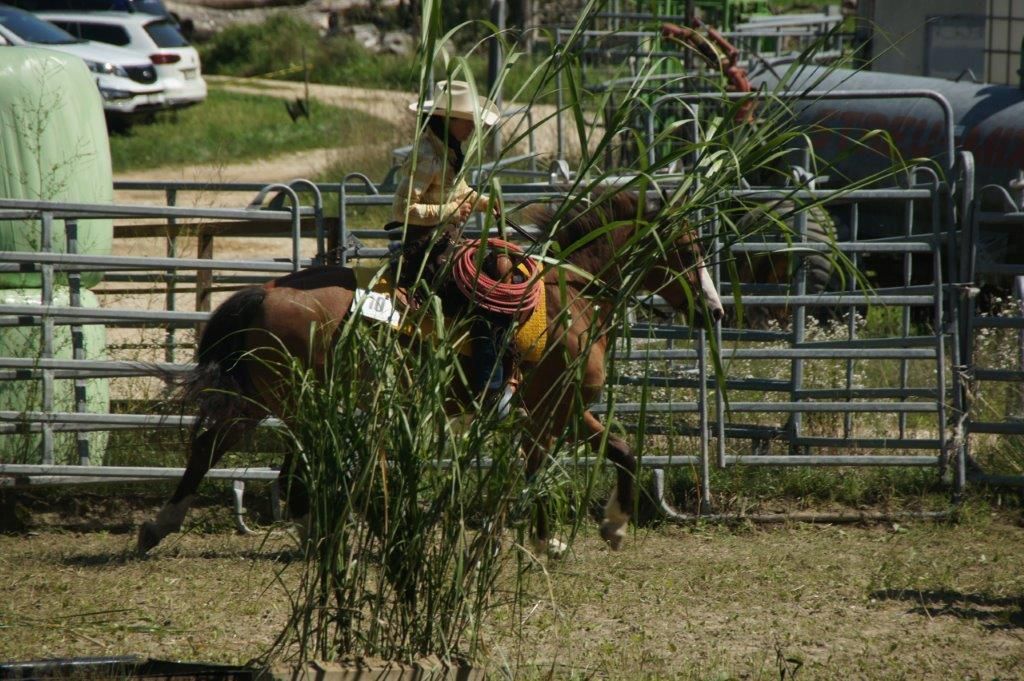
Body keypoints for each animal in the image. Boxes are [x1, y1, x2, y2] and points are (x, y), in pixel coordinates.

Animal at [137, 189, 725, 555]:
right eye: (686, 249)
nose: (716, 311)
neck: (570, 297)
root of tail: (268, 291)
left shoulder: (561, 409)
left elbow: (623, 450)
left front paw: (611, 527)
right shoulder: (550, 411)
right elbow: (538, 471)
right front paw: (538, 536)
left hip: (266, 398)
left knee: (214, 449)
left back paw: (165, 528)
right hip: (293, 401)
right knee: (280, 466)